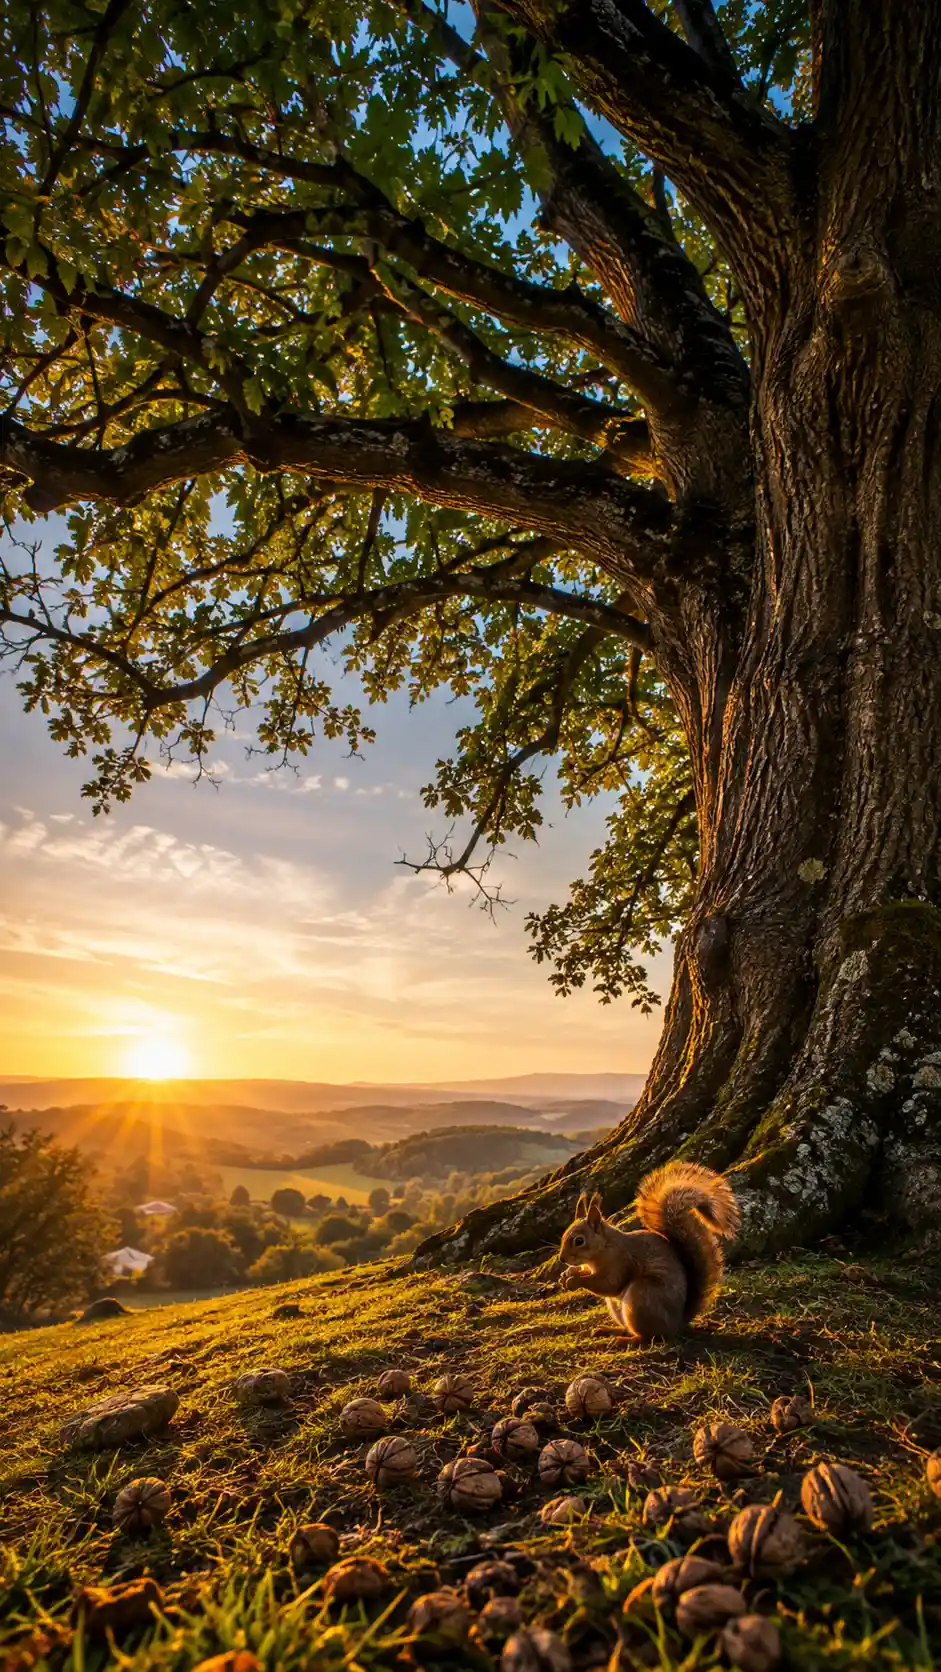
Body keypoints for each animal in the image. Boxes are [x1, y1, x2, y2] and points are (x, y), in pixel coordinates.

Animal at [558, 1161, 740, 1343]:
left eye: (579, 1241)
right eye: (564, 1234)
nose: (562, 1259)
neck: (603, 1248)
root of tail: (677, 1324)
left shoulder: (620, 1261)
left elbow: (609, 1284)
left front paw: (574, 1281)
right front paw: (567, 1274)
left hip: (642, 1297)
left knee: (649, 1336)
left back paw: (625, 1340)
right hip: (619, 1307)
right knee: (630, 1329)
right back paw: (608, 1330)